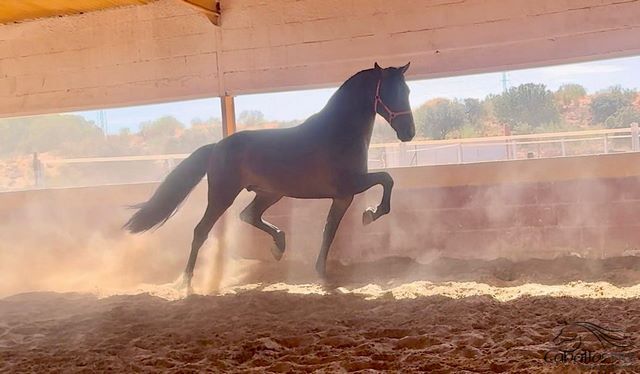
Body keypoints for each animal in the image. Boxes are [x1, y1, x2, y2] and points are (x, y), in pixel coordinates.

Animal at [124, 62, 416, 290]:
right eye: (388, 92)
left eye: (407, 91)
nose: (408, 132)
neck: (339, 133)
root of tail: (216, 147)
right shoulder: (349, 187)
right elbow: (386, 180)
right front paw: (371, 214)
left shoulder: (343, 196)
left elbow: (330, 230)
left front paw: (322, 272)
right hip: (222, 196)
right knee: (201, 231)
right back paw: (186, 282)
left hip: (270, 193)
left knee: (248, 215)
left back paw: (279, 245)